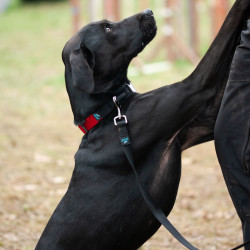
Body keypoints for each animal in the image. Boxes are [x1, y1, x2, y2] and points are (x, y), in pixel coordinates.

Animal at [35, 0, 250, 249]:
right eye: (107, 28)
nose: (149, 11)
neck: (109, 112)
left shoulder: (204, 120)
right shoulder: (195, 88)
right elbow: (227, 28)